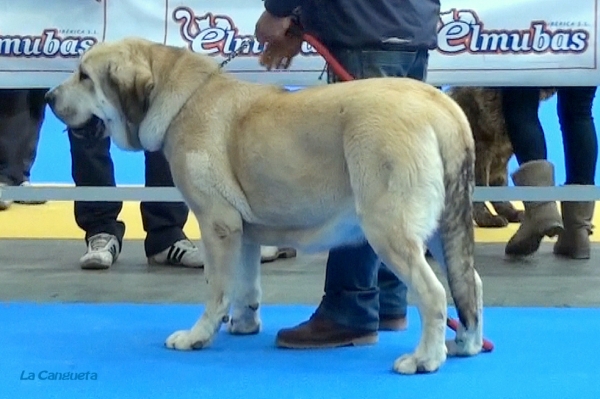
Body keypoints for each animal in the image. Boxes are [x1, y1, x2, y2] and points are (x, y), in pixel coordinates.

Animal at [48, 37, 488, 376]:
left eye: (84, 76)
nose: (50, 97)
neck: (180, 98)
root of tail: (441, 107)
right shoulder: (242, 232)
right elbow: (245, 283)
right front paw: (243, 324)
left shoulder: (217, 224)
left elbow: (217, 287)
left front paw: (198, 335)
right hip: (441, 230)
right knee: (469, 282)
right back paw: (466, 344)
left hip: (388, 228)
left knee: (433, 293)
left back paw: (425, 359)